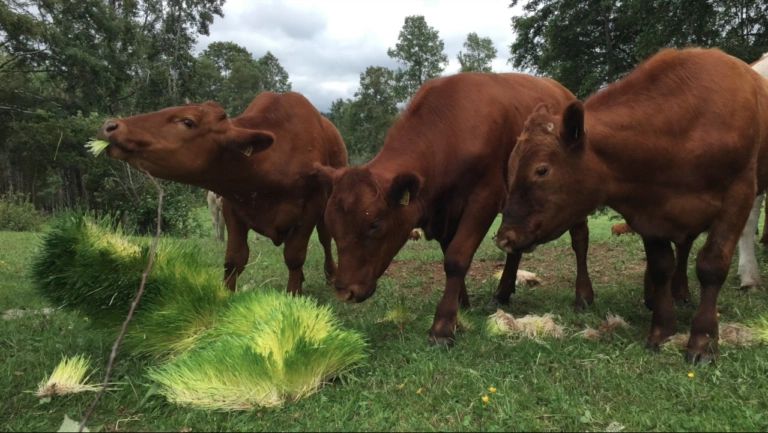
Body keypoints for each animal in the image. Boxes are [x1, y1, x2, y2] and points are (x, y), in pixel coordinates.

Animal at [99, 91, 348, 294]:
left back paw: (331, 274)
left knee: (325, 239)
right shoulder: (232, 206)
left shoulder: (311, 207)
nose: (111, 125)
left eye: (188, 122)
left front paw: (293, 295)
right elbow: (234, 259)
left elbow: (295, 256)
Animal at [316, 72, 596, 346]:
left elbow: (456, 257)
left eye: (374, 224)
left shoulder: (485, 198)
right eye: (331, 224)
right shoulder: (444, 213)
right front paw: (462, 305)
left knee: (580, 238)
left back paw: (583, 295)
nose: (344, 291)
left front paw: (442, 326)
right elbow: (448, 252)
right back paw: (502, 293)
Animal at [496, 48, 768, 364]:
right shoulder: (650, 209)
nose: (504, 238)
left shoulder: (738, 196)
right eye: (510, 167)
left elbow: (711, 265)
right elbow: (662, 266)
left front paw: (702, 340)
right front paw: (662, 329)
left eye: (541, 170)